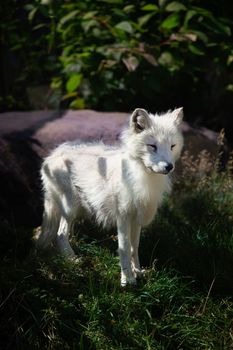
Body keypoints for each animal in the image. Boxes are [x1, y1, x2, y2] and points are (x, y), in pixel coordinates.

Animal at [36, 108, 184, 286]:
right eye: (152, 146)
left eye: (172, 146)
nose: (169, 167)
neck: (140, 176)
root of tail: (54, 154)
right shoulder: (123, 217)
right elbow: (125, 248)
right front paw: (127, 279)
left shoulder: (137, 218)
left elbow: (135, 247)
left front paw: (137, 272)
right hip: (70, 208)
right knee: (60, 234)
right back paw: (73, 260)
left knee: (64, 232)